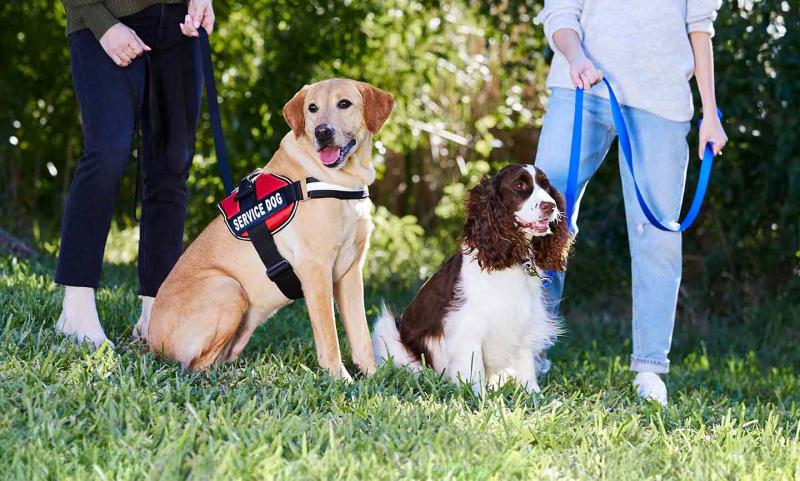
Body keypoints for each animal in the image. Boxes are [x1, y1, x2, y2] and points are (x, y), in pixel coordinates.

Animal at [145, 79, 396, 378]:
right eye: (312, 108)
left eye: (344, 103)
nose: (322, 132)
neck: (339, 180)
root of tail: (151, 342)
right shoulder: (316, 269)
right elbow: (330, 339)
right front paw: (340, 379)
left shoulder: (350, 272)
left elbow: (361, 336)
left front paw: (373, 378)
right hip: (229, 288)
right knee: (194, 366)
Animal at [372, 165, 572, 394]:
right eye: (519, 186)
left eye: (546, 186)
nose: (551, 206)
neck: (511, 259)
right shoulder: (466, 323)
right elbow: (473, 367)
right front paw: (478, 396)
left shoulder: (524, 320)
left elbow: (525, 364)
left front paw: (533, 394)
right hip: (386, 328)